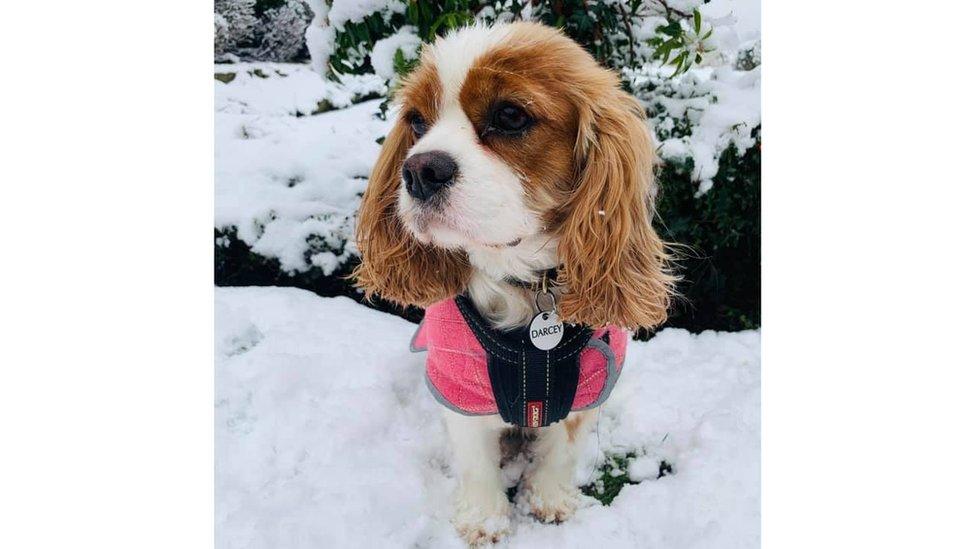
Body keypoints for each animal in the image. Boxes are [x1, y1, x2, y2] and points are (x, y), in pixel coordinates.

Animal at [354, 21, 676, 544]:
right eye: (417, 122)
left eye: (509, 116)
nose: (419, 169)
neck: (525, 283)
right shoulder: (460, 384)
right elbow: (475, 459)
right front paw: (484, 520)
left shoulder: (588, 386)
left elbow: (561, 448)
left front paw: (549, 501)